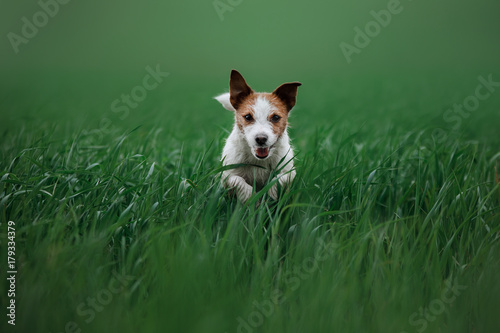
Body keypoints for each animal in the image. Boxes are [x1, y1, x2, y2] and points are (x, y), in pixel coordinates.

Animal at [212, 70, 300, 202]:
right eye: (248, 117)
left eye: (276, 117)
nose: (261, 139)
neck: (258, 161)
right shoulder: (225, 176)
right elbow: (237, 180)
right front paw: (249, 196)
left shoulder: (289, 171)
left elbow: (280, 178)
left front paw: (272, 194)